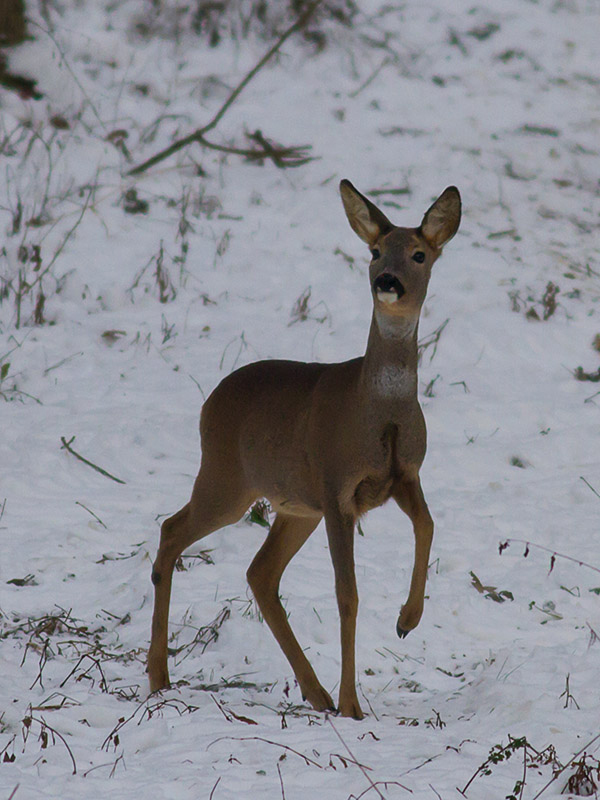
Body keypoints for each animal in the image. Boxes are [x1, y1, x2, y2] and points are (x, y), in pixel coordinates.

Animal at [148, 180, 462, 720]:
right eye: (375, 251)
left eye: (419, 254)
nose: (387, 281)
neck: (379, 410)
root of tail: (209, 404)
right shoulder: (336, 486)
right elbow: (347, 595)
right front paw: (353, 704)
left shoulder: (403, 474)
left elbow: (428, 524)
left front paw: (407, 619)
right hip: (227, 480)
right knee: (172, 531)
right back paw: (158, 677)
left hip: (295, 506)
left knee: (260, 572)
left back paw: (314, 692)